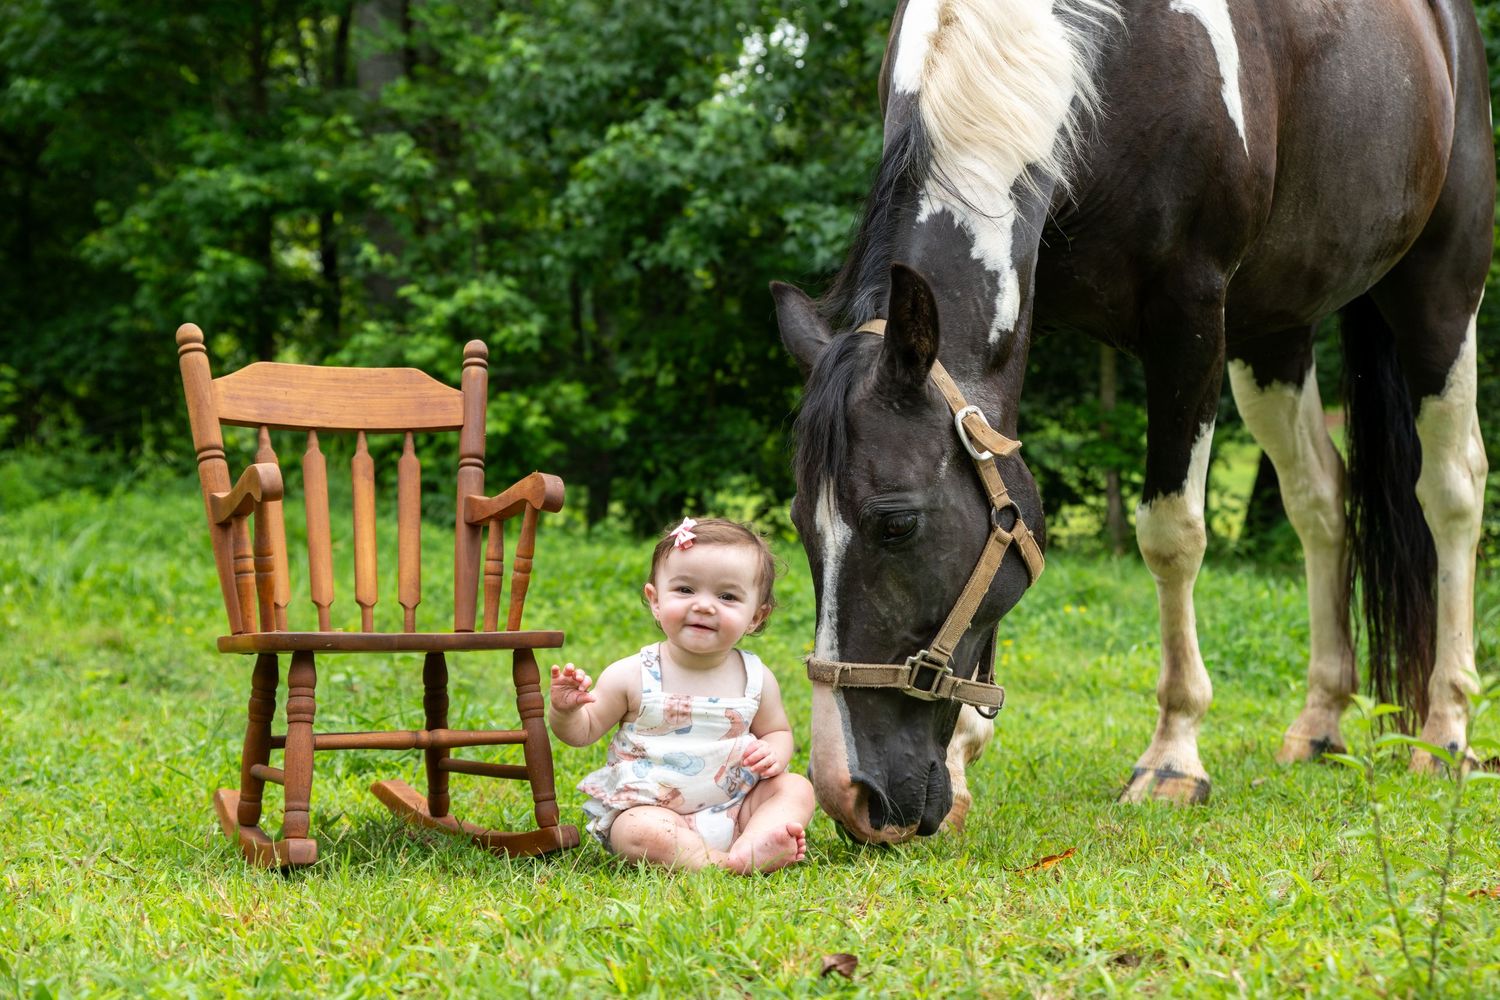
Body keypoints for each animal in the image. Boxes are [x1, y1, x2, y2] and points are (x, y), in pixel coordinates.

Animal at [772, 0, 1493, 843]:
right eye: (802, 525)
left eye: (896, 524)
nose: (851, 796)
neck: (1096, 57)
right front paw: (963, 757)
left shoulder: (1190, 320)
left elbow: (1172, 534)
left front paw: (1174, 757)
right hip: (1276, 332)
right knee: (1320, 499)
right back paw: (1320, 722)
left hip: (1440, 292)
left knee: (1451, 490)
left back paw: (1447, 731)